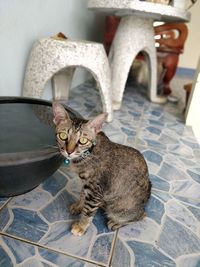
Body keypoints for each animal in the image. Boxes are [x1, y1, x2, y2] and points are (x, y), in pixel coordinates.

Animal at [52, 102, 151, 237]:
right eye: (63, 136)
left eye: (83, 140)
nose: (69, 151)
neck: (87, 154)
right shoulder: (87, 185)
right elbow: (82, 195)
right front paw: (78, 206)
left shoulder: (95, 190)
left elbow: (88, 212)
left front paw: (81, 226)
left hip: (118, 210)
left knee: (141, 215)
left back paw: (116, 223)